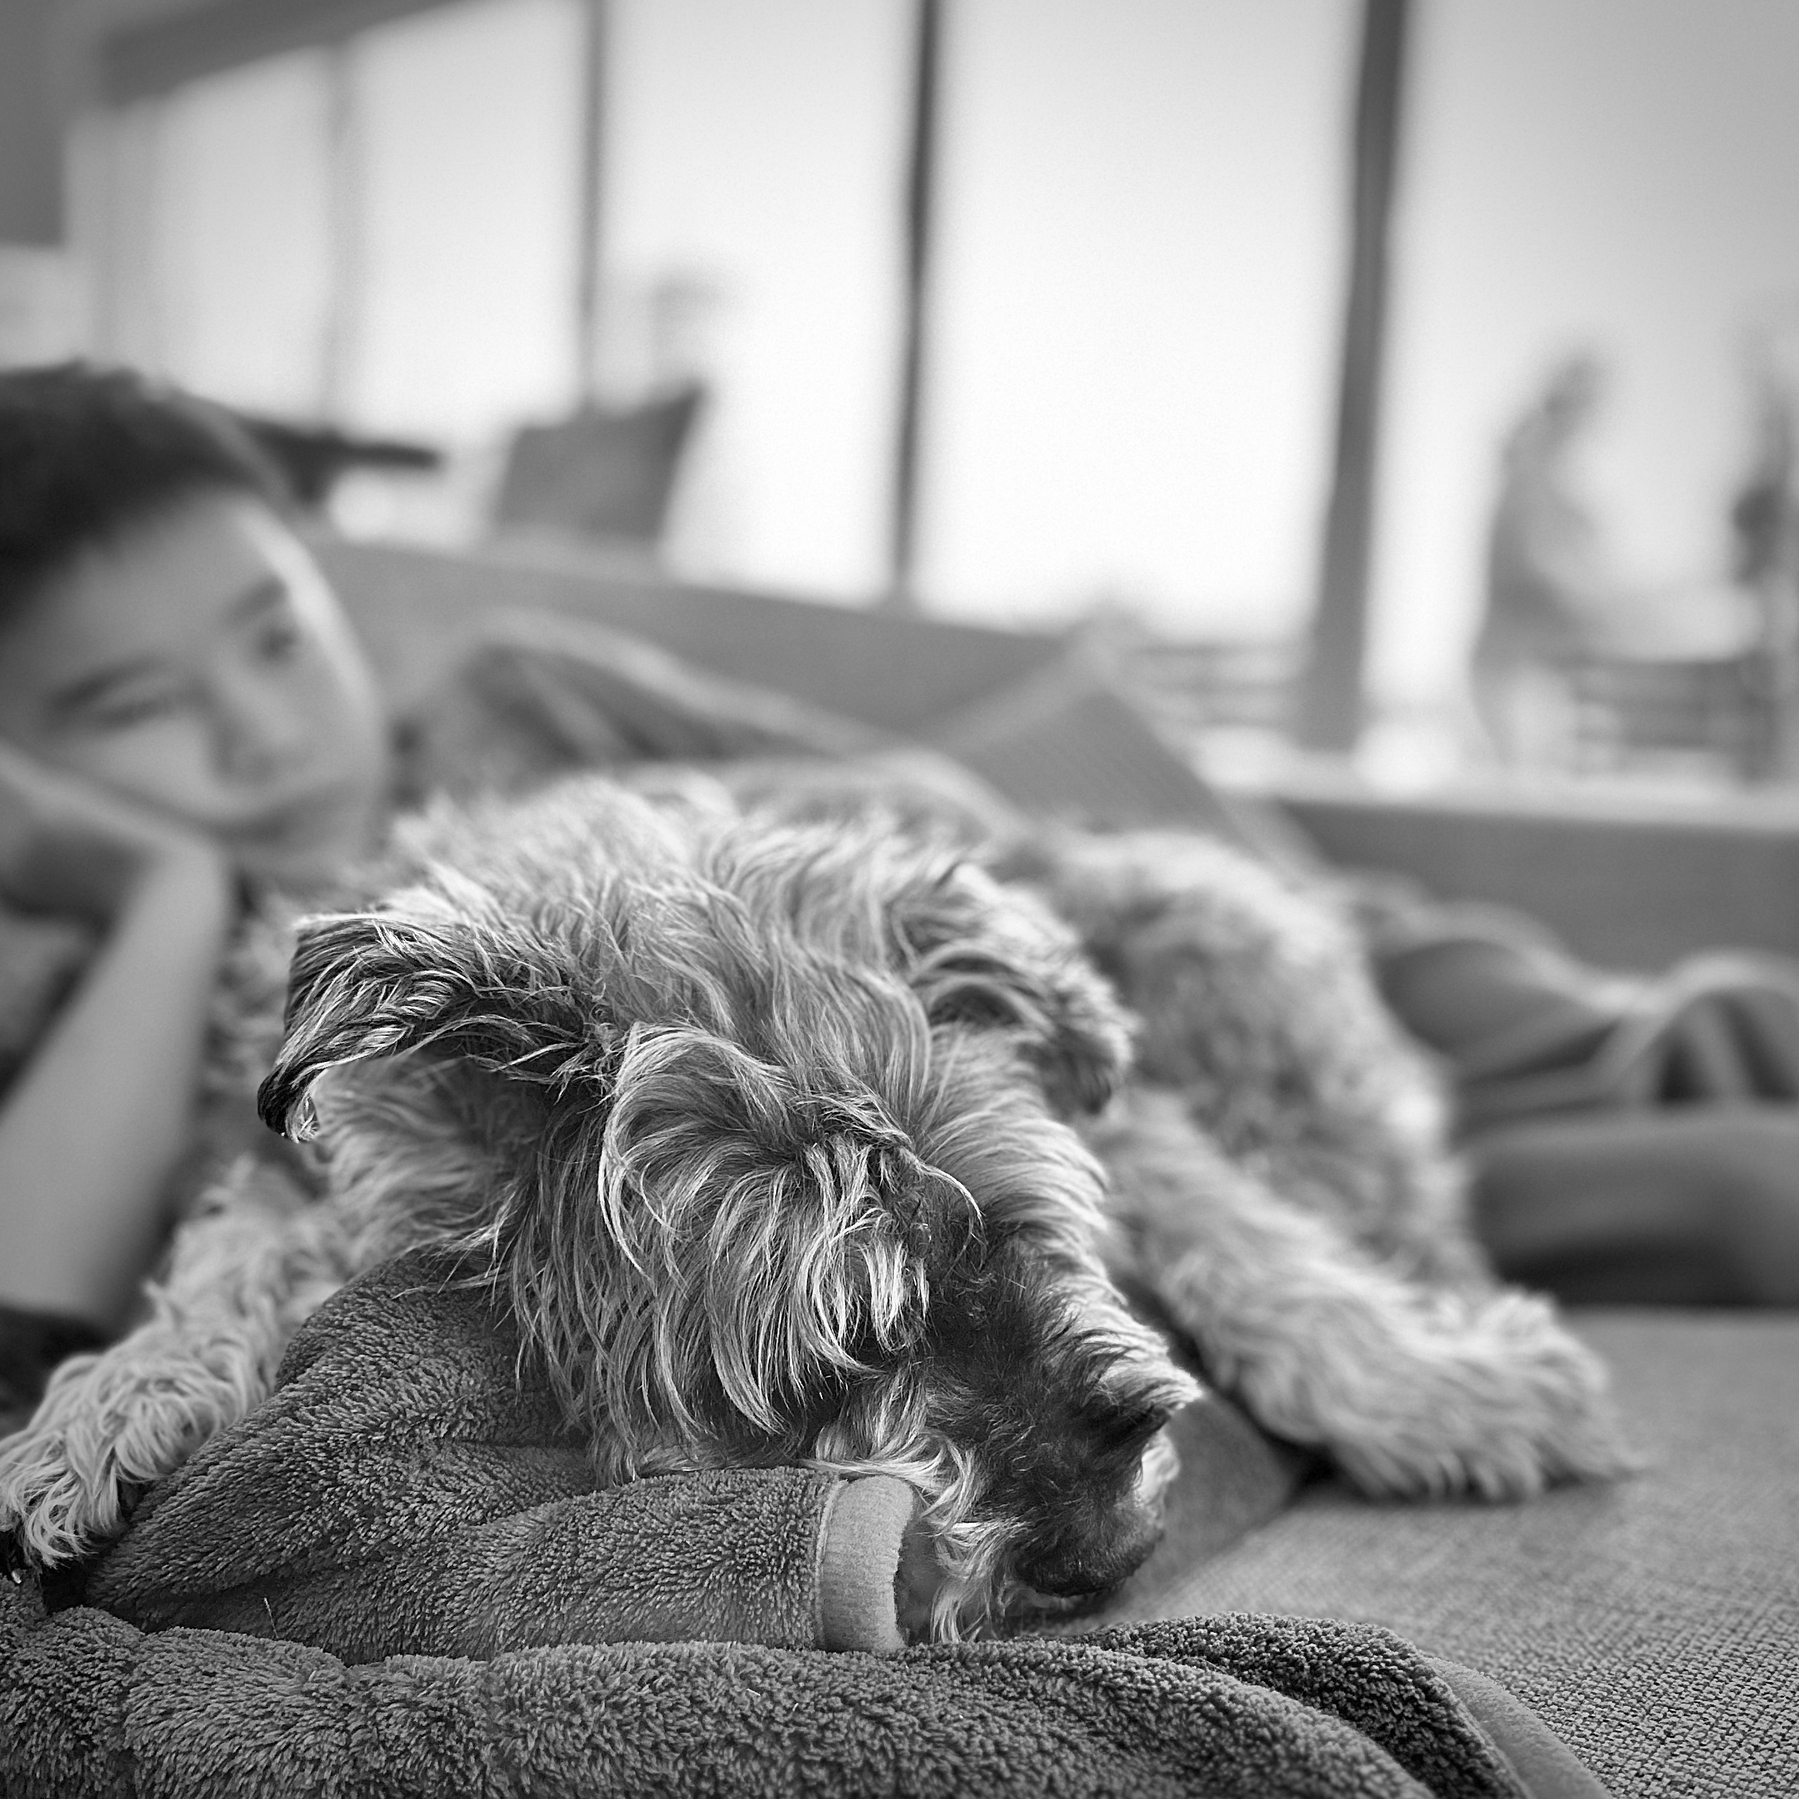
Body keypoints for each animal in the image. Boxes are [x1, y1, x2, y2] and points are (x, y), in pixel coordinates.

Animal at [0, 769, 1633, 1633]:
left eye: (1027, 1231)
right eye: (823, 1366)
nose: (1102, 1552)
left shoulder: (1126, 1126)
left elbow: (1261, 1258)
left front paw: (1445, 1387)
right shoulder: (319, 1162)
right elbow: (226, 1264)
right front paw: (87, 1423)